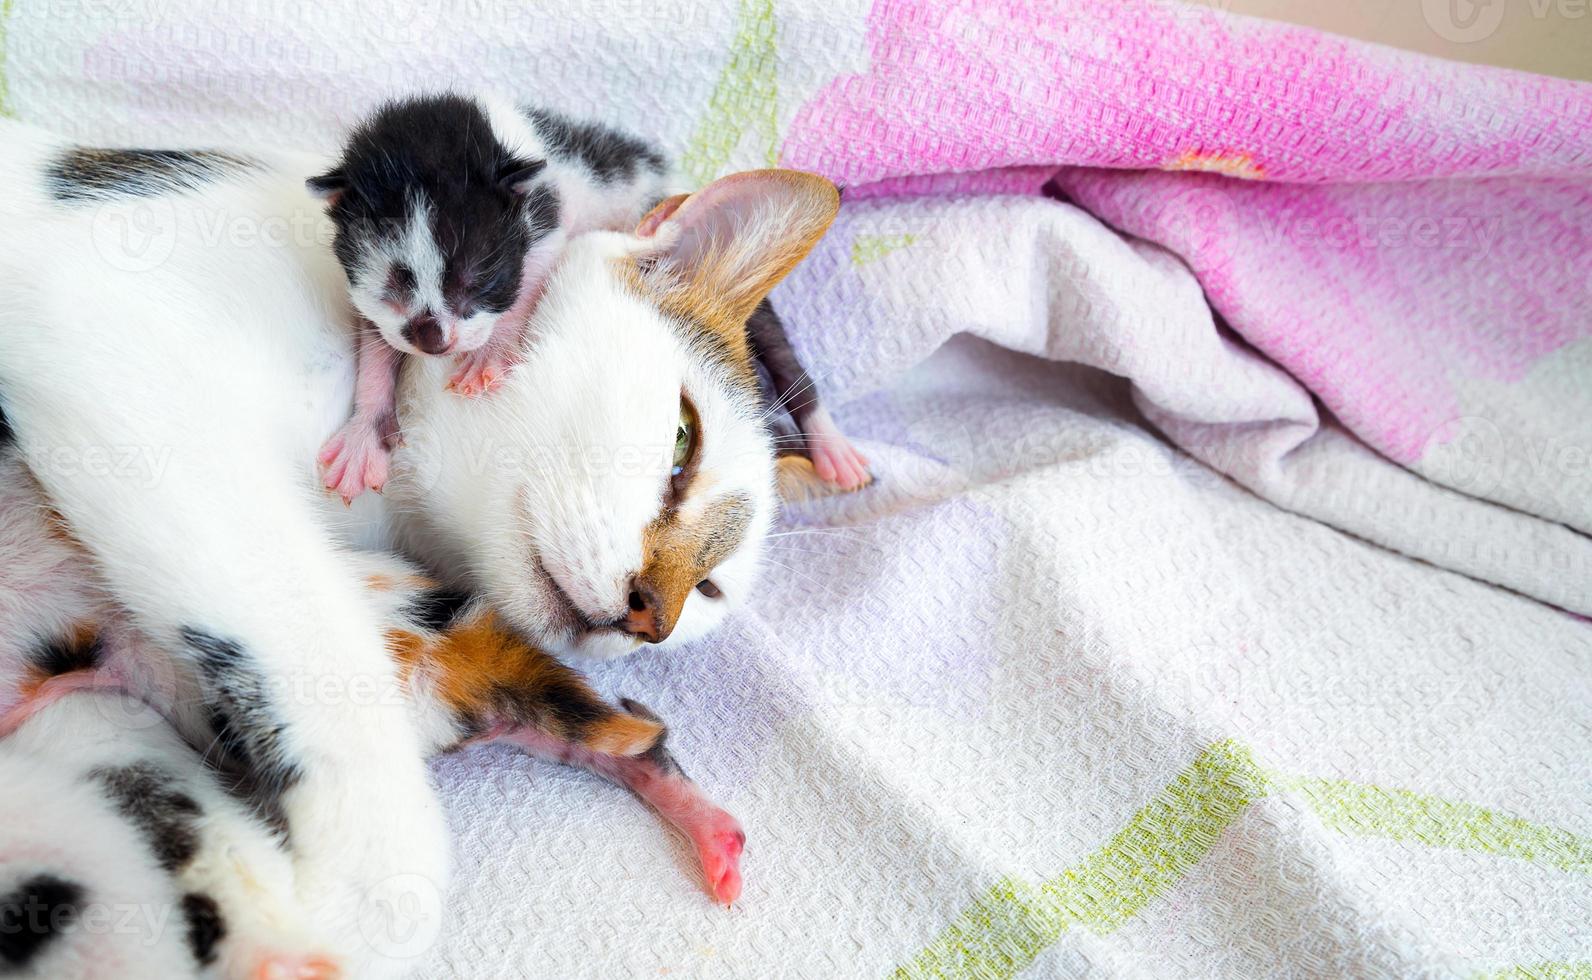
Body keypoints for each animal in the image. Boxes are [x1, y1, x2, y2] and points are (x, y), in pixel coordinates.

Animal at [0, 118, 840, 973]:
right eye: (681, 440)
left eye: (709, 589)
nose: (651, 616)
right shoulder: (117, 351)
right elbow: (312, 635)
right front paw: (367, 882)